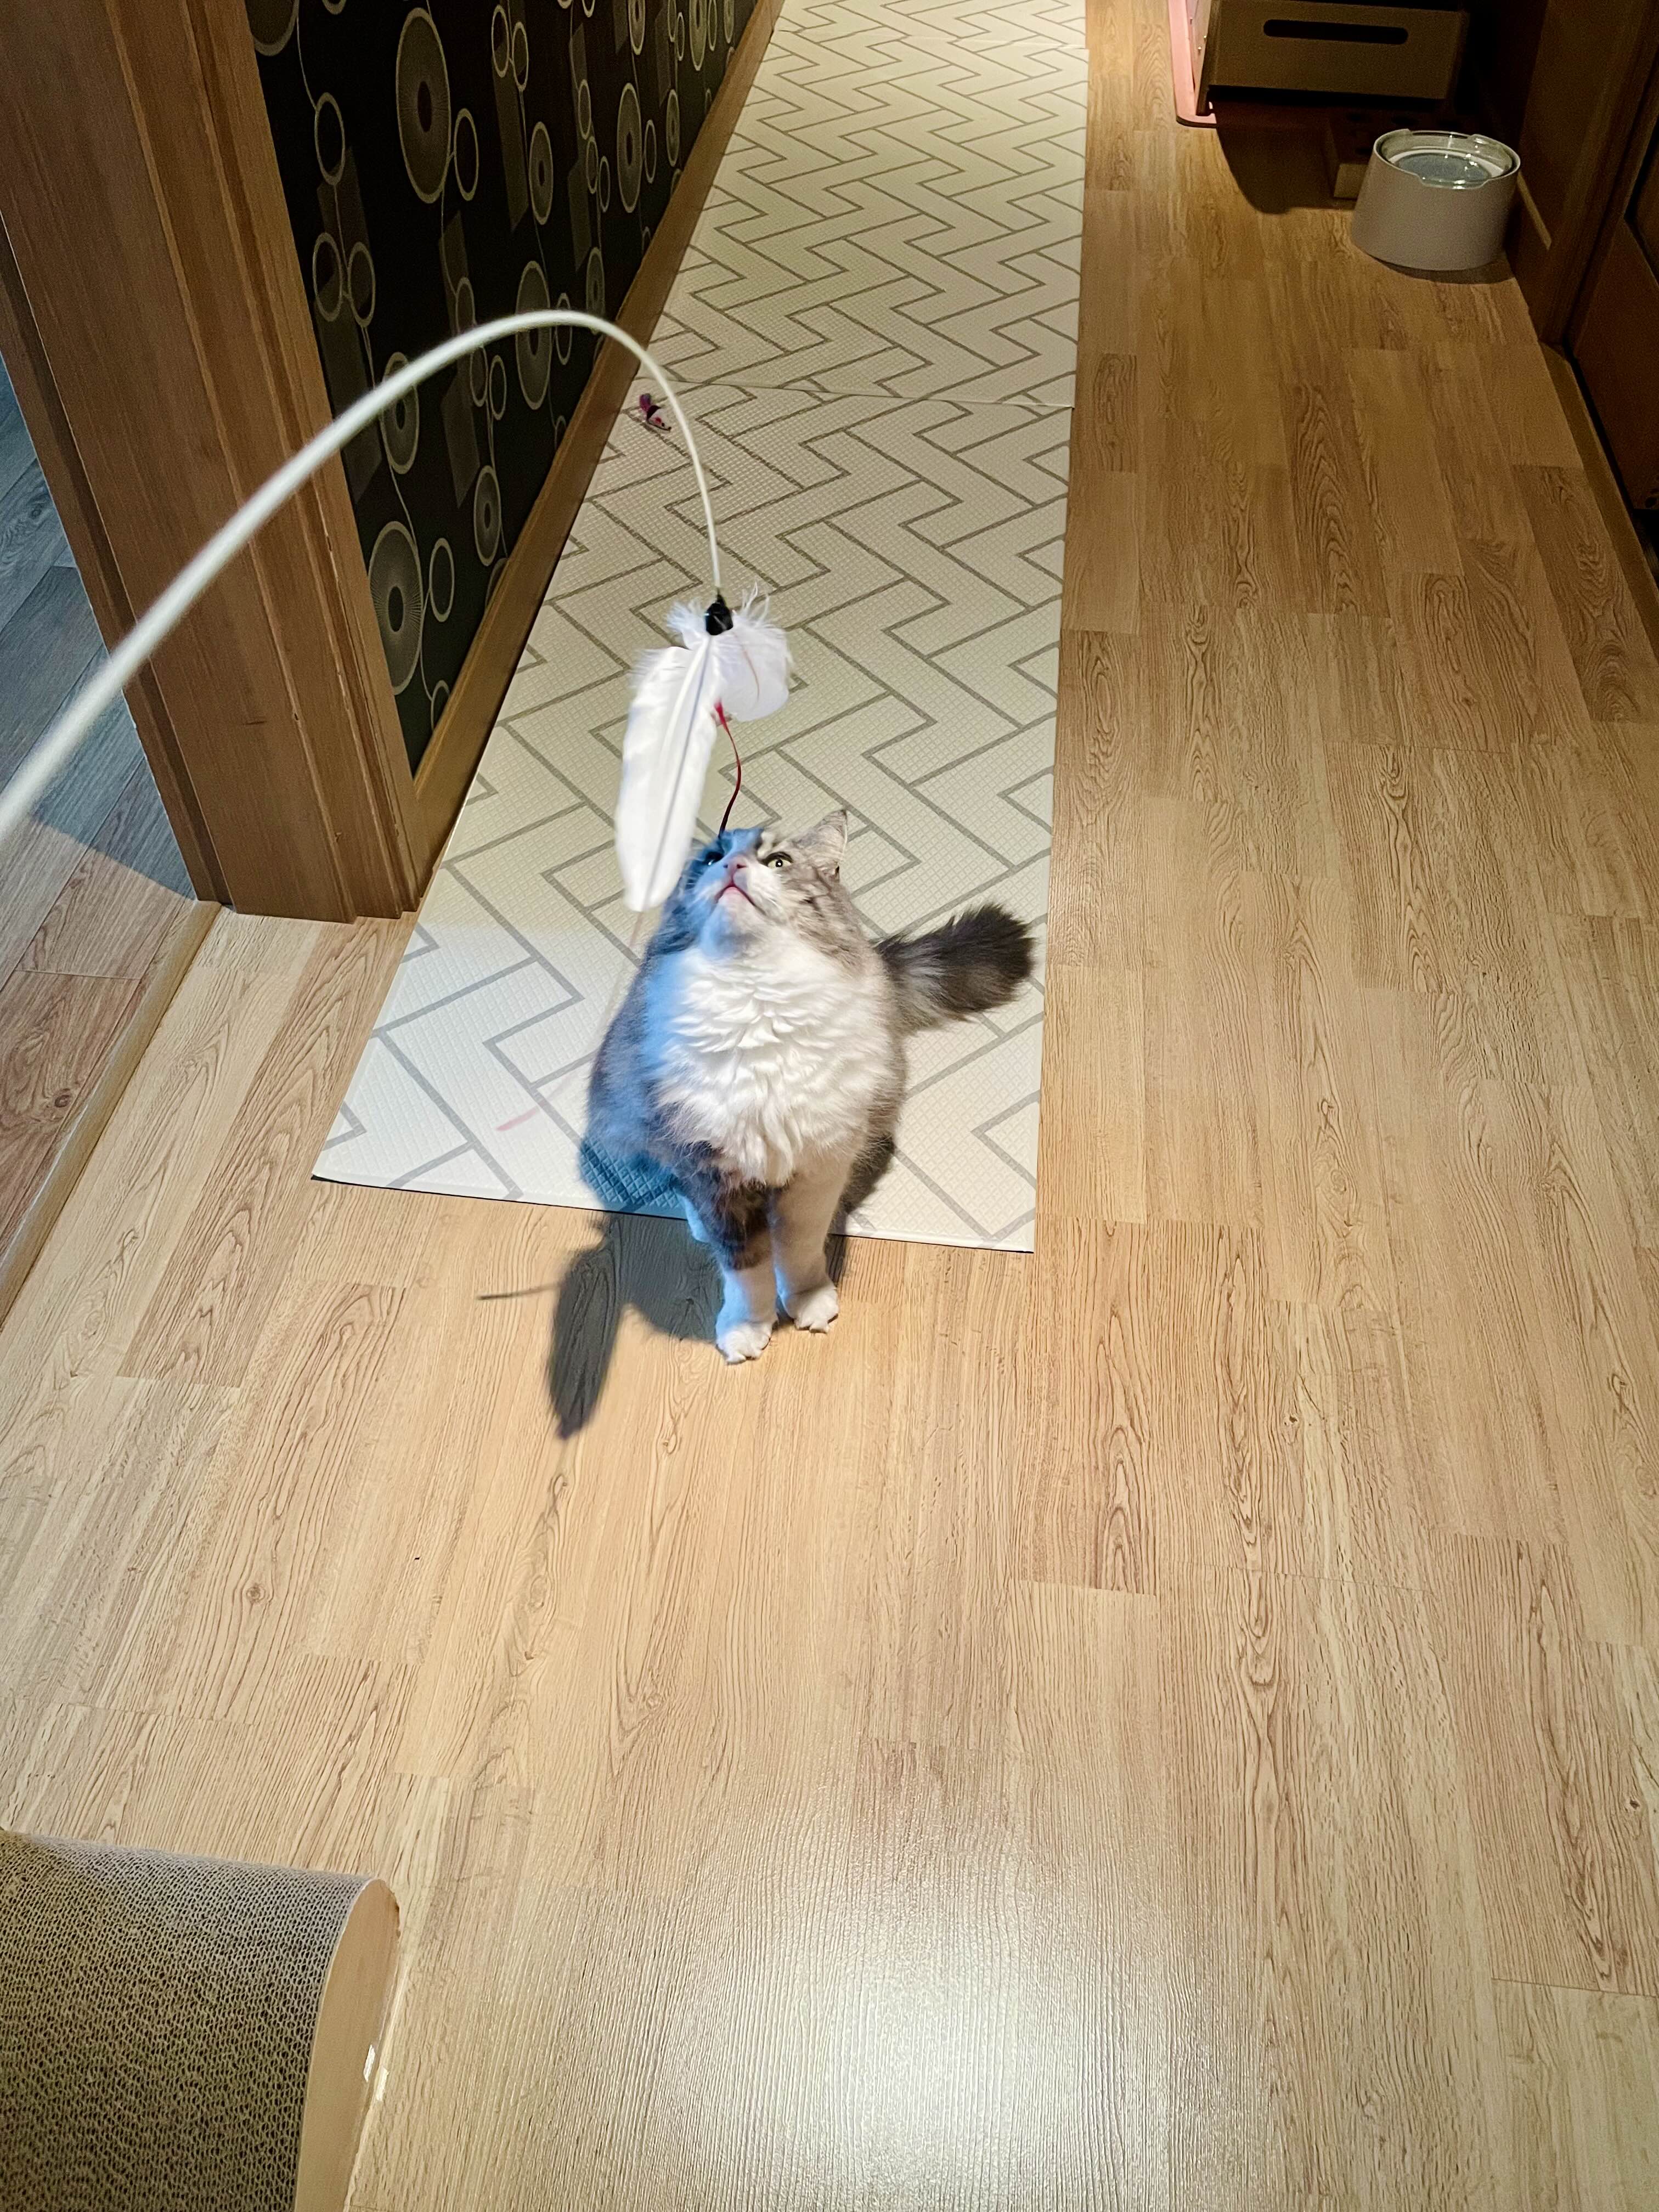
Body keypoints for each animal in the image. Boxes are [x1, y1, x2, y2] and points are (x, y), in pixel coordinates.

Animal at [587, 809, 1033, 1361]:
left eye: (778, 862)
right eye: (710, 861)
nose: (732, 866)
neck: (758, 1008)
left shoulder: (818, 1167)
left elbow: (798, 1249)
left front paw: (808, 1299)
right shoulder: (719, 1176)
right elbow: (746, 1269)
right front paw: (747, 1326)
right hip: (625, 1118)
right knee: (676, 1181)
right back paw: (694, 1221)